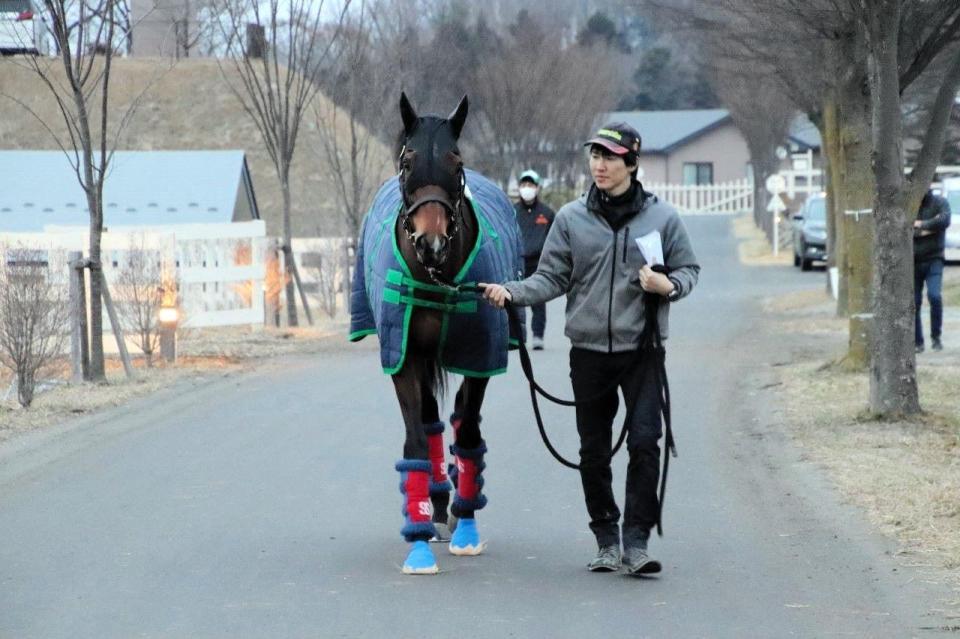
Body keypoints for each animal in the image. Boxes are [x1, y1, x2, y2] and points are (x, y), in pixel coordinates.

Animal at [348, 94, 520, 576]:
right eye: (407, 161)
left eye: (455, 159)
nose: (431, 243)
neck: (438, 278)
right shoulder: (404, 353)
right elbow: (416, 440)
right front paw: (419, 539)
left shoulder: (480, 354)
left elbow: (468, 431)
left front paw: (466, 530)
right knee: (431, 421)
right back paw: (438, 504)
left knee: (461, 418)